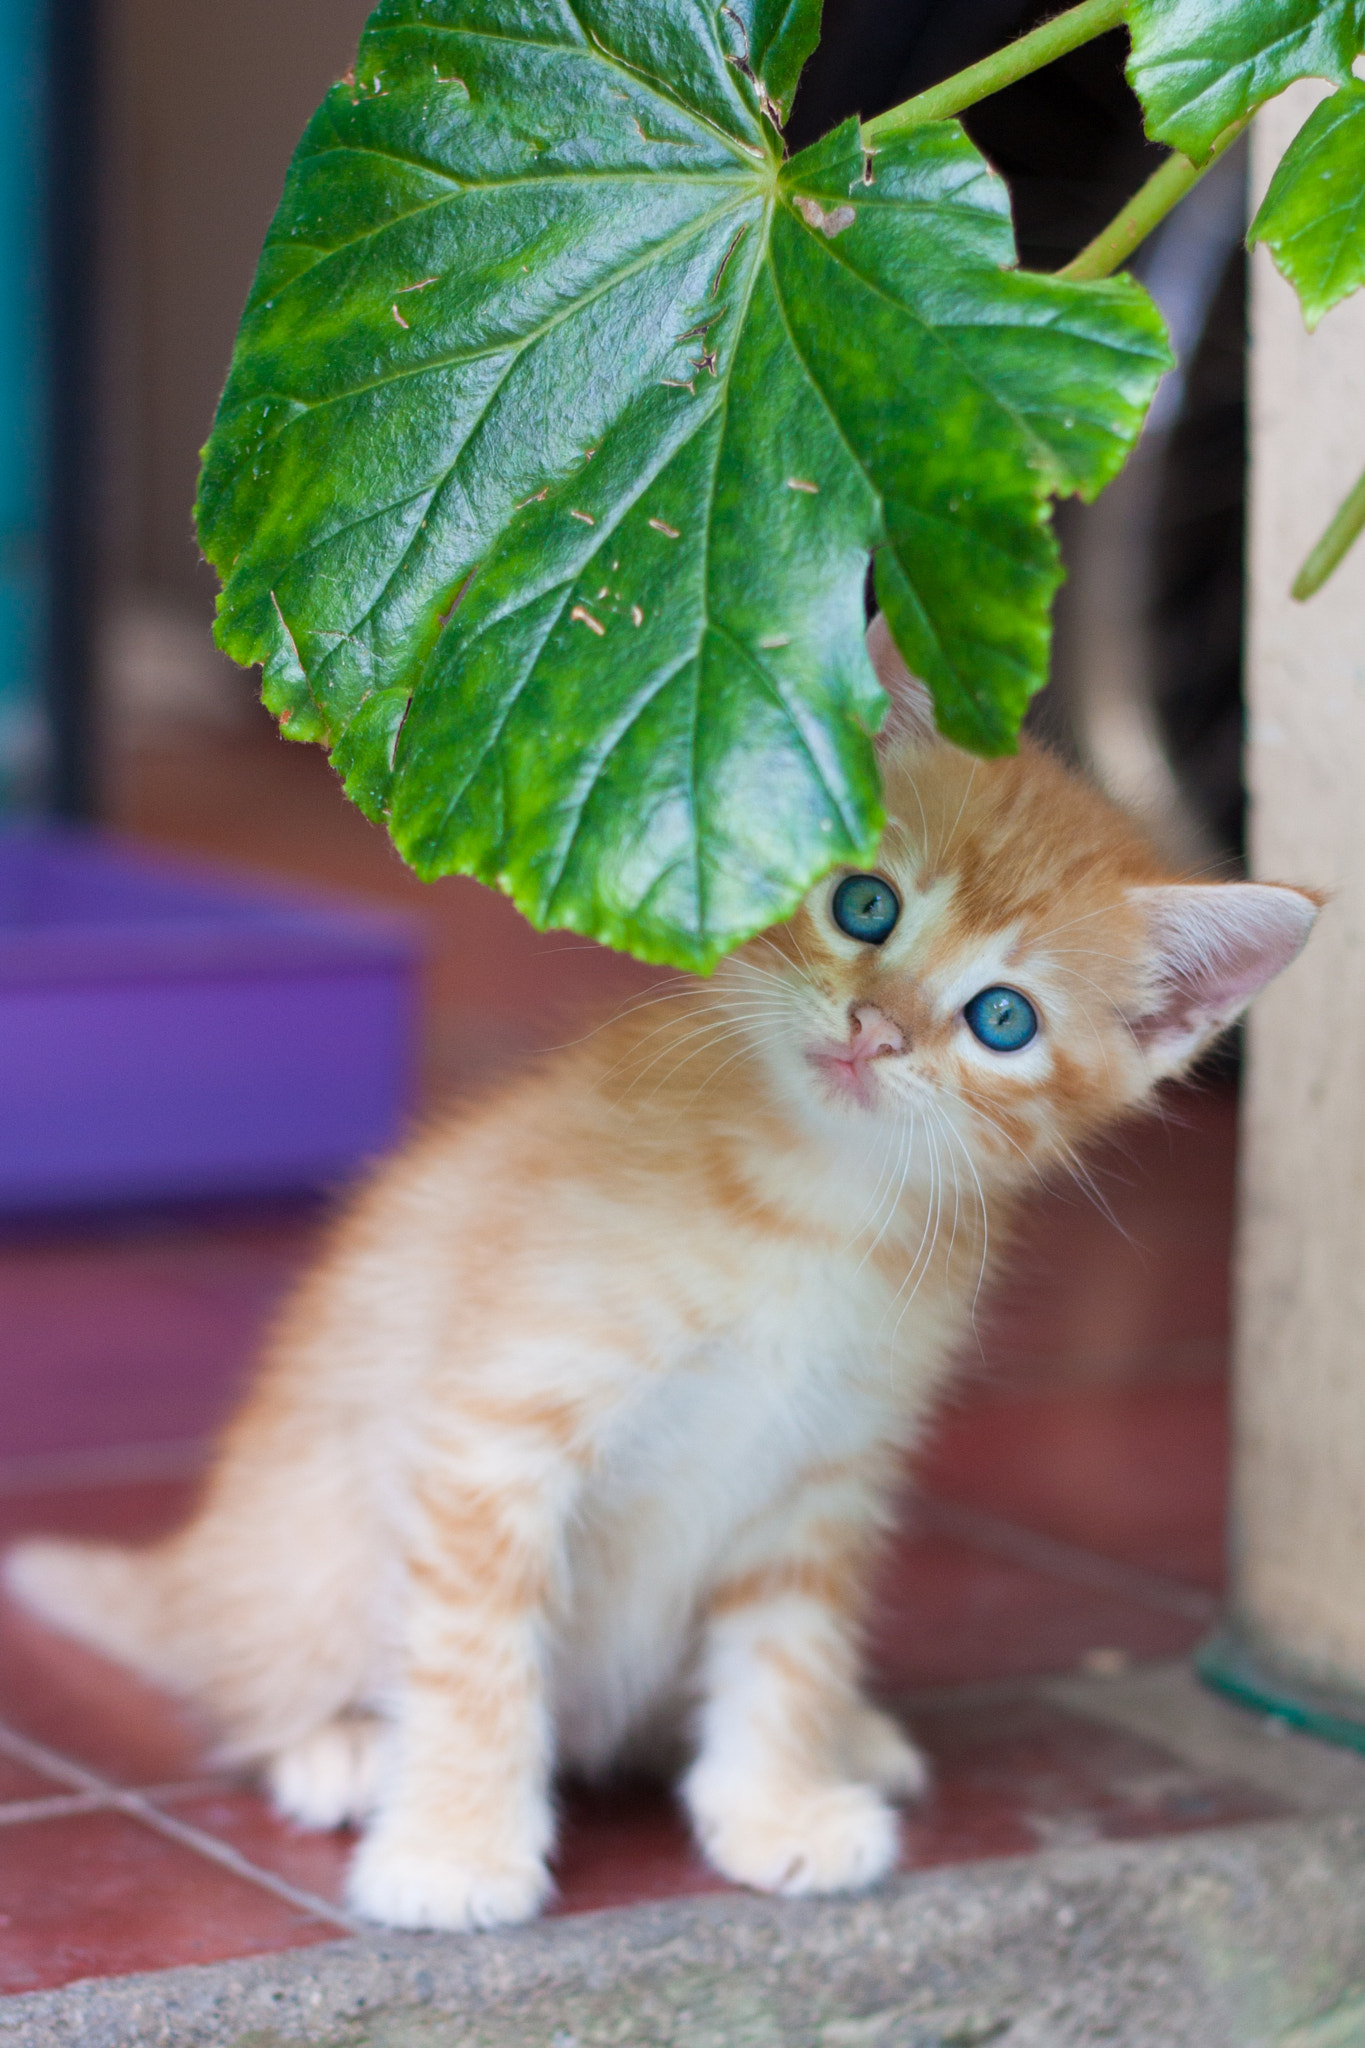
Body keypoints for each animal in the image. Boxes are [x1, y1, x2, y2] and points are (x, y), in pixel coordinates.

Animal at [5, 618, 1317, 1916]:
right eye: (867, 904)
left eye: (1005, 1019)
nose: (874, 1029)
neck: (814, 1200)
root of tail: (193, 1572)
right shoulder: (493, 1434)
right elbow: (476, 1650)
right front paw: (456, 1848)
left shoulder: (824, 1474)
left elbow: (788, 1648)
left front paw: (777, 1802)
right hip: (312, 1549)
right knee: (253, 1681)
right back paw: (343, 1746)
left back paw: (848, 1733)